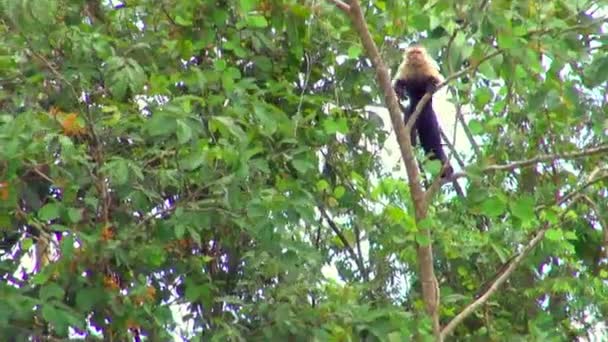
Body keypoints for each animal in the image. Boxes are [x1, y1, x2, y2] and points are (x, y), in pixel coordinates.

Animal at [392, 44, 454, 179]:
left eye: (418, 52)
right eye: (412, 52)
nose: (415, 56)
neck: (416, 67)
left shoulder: (428, 65)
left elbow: (437, 80)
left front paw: (431, 85)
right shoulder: (404, 67)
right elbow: (400, 82)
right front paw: (399, 90)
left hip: (427, 112)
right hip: (413, 112)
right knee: (408, 114)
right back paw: (410, 139)